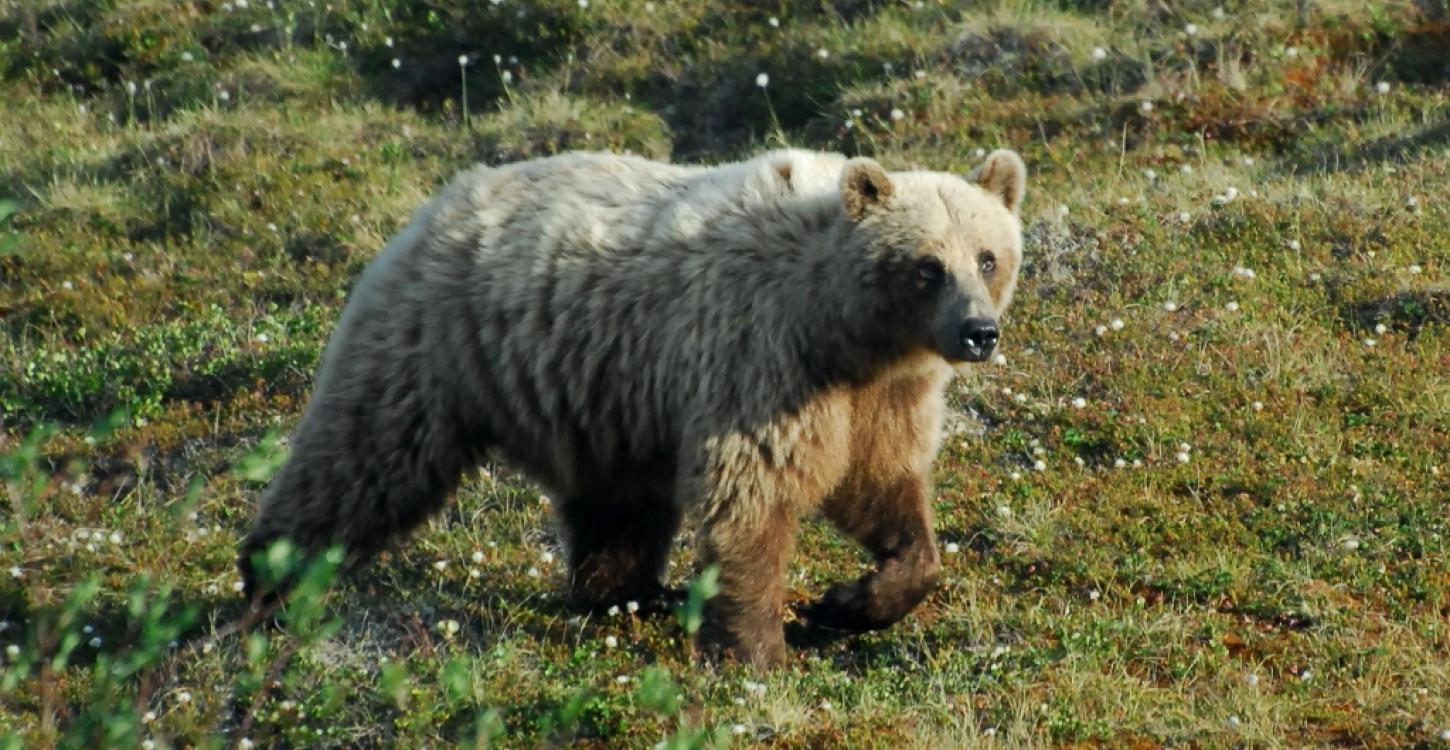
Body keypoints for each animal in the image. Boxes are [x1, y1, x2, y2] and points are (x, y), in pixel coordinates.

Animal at [239, 146, 1028, 667]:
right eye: (928, 265)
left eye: (988, 256)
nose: (977, 332)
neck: (846, 330)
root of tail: (439, 201)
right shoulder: (761, 357)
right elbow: (752, 496)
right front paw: (759, 647)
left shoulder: (879, 396)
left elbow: (882, 488)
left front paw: (854, 599)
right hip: (436, 348)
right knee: (365, 461)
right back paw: (269, 579)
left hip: (603, 394)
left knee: (619, 504)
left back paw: (631, 590)